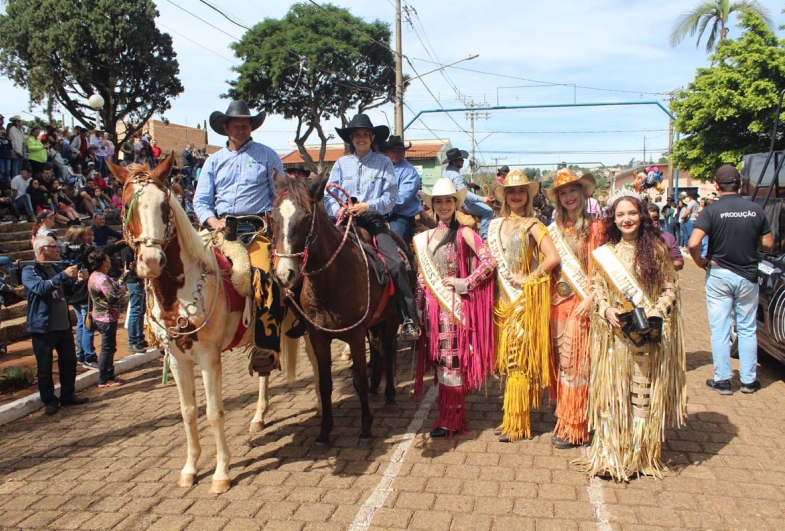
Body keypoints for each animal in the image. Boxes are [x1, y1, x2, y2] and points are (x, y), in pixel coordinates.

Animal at [107, 155, 298, 494]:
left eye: (164, 206)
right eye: (129, 204)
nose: (151, 261)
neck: (179, 292)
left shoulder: (209, 357)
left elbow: (213, 412)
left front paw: (221, 473)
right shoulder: (177, 358)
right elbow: (188, 412)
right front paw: (190, 469)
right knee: (264, 368)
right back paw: (259, 415)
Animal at [272, 172, 402, 446]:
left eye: (306, 218)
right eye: (273, 216)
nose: (284, 275)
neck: (332, 280)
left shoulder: (355, 335)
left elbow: (359, 381)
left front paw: (366, 428)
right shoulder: (318, 337)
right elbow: (325, 383)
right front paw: (324, 432)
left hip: (392, 319)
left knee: (388, 349)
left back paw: (389, 394)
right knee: (378, 348)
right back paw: (377, 386)